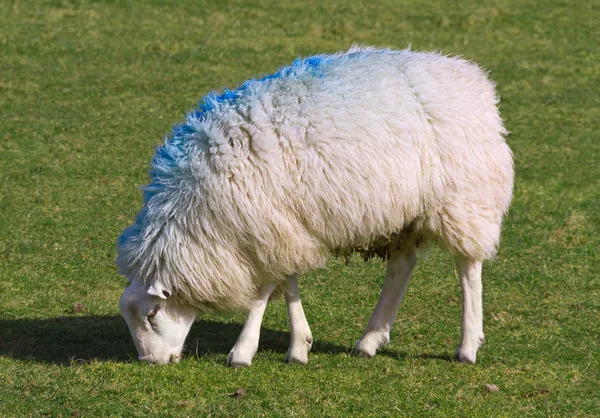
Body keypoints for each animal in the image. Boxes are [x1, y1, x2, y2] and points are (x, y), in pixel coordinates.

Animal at [118, 45, 516, 366]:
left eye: (153, 314)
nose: (150, 362)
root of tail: (471, 76)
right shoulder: (283, 227)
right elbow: (286, 282)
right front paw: (299, 345)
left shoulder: (264, 225)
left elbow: (265, 288)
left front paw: (243, 350)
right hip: (402, 211)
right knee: (402, 266)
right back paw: (370, 339)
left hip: (464, 199)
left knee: (468, 270)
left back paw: (467, 346)